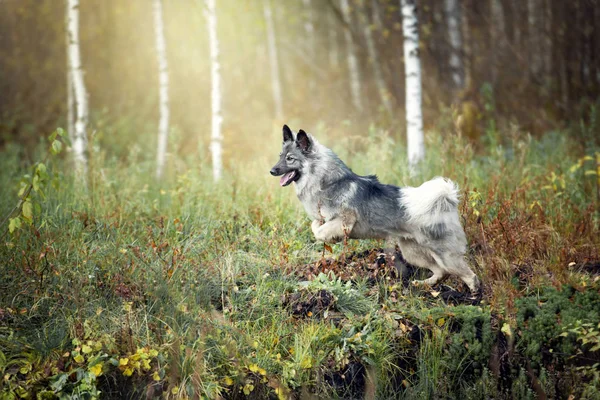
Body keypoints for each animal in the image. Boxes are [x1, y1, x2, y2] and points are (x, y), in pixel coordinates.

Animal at [270, 126, 480, 294]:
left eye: (290, 159)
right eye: (280, 157)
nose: (272, 170)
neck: (327, 181)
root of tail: (446, 200)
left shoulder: (344, 222)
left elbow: (320, 232)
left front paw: (329, 237)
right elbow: (316, 225)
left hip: (445, 255)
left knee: (470, 276)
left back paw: (474, 297)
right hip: (413, 252)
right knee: (440, 272)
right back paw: (422, 284)